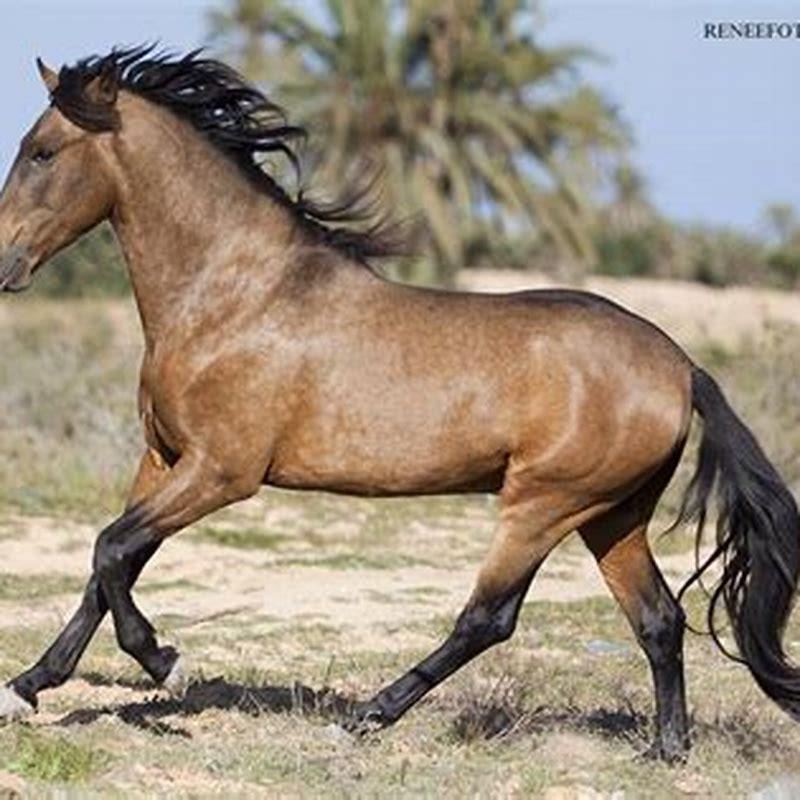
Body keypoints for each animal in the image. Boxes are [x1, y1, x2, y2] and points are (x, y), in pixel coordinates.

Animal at [0, 46, 797, 763]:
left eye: (42, 152)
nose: (2, 263)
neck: (234, 297)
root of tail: (682, 367)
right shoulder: (163, 459)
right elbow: (108, 566)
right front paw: (29, 686)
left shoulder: (221, 472)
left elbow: (111, 551)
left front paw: (166, 664)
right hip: (612, 515)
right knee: (659, 618)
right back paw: (666, 751)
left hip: (545, 502)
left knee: (488, 618)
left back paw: (364, 718)